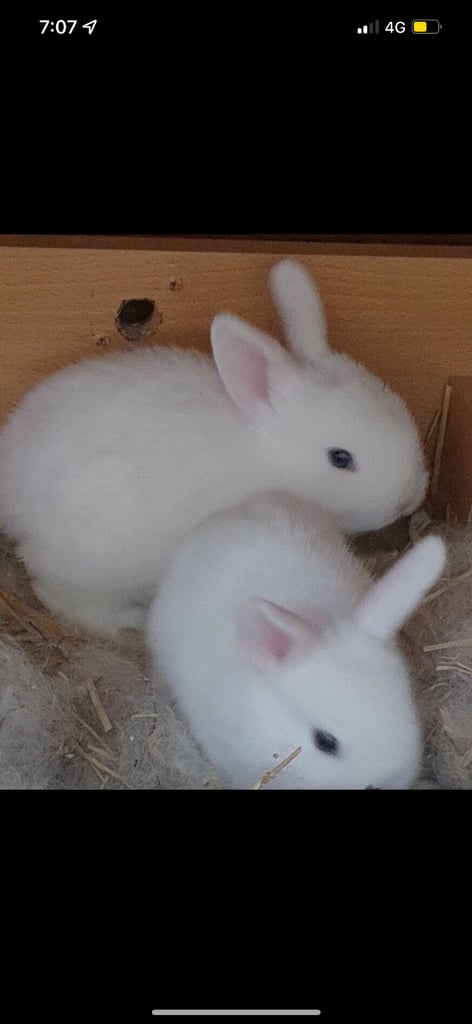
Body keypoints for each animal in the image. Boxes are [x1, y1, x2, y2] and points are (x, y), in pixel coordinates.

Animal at [0, 259, 428, 637]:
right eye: (340, 458)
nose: (410, 497)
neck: (267, 461)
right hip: (95, 564)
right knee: (57, 593)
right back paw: (124, 622)